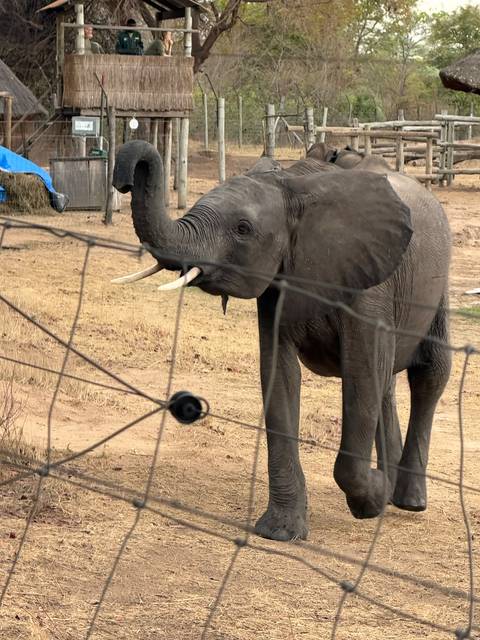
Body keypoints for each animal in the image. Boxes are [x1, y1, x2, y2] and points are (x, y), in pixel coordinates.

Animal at [112, 140, 451, 541]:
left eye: (243, 229)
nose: (123, 179)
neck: (294, 186)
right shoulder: (278, 282)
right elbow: (280, 375)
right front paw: (280, 531)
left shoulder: (370, 288)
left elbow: (361, 375)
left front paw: (370, 500)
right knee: (386, 384)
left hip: (437, 290)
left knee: (429, 374)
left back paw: (408, 499)